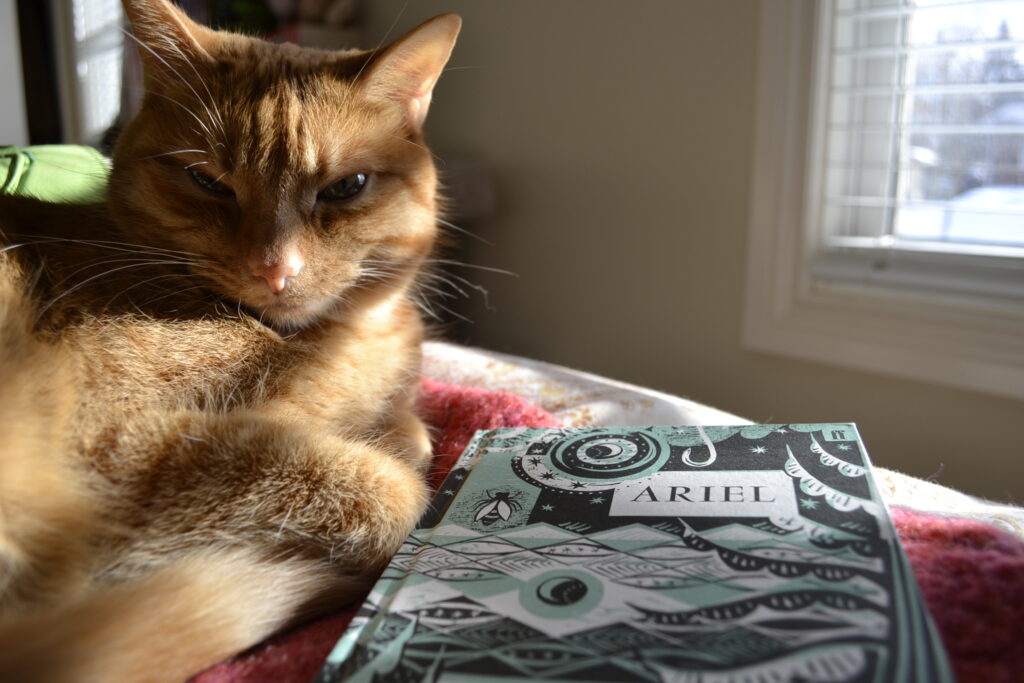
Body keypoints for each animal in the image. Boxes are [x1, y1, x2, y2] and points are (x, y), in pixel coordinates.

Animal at [0, 2, 460, 679]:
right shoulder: (108, 441)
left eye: (346, 187)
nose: (276, 270)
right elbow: (395, 489)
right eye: (208, 182)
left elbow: (414, 437)